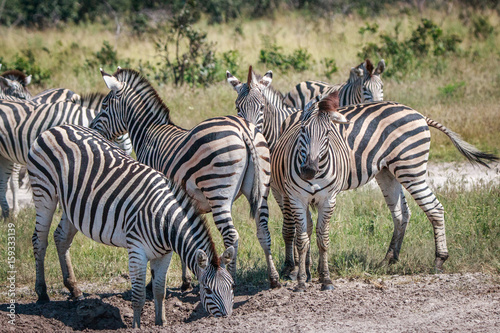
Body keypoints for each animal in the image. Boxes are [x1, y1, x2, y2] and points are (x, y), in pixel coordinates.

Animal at [28, 124, 235, 326]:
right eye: (207, 290)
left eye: (232, 286)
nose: (227, 320)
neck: (165, 222)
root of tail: (56, 127)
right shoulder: (137, 251)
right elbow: (138, 296)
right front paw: (136, 326)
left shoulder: (165, 255)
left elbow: (160, 291)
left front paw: (161, 323)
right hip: (44, 192)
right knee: (39, 240)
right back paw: (42, 293)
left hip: (71, 205)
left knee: (61, 238)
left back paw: (74, 289)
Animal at [90, 67, 282, 288]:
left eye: (104, 106)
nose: (92, 128)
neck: (148, 133)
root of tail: (244, 129)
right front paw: (186, 279)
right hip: (261, 190)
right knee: (263, 231)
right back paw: (274, 278)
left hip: (218, 191)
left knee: (232, 236)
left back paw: (231, 278)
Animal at [272, 91, 350, 290]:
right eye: (303, 130)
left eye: (327, 133)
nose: (308, 170)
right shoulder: (297, 199)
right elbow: (301, 240)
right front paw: (300, 281)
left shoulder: (328, 200)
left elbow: (323, 239)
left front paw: (326, 278)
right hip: (282, 195)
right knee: (297, 230)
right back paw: (300, 270)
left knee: (309, 229)